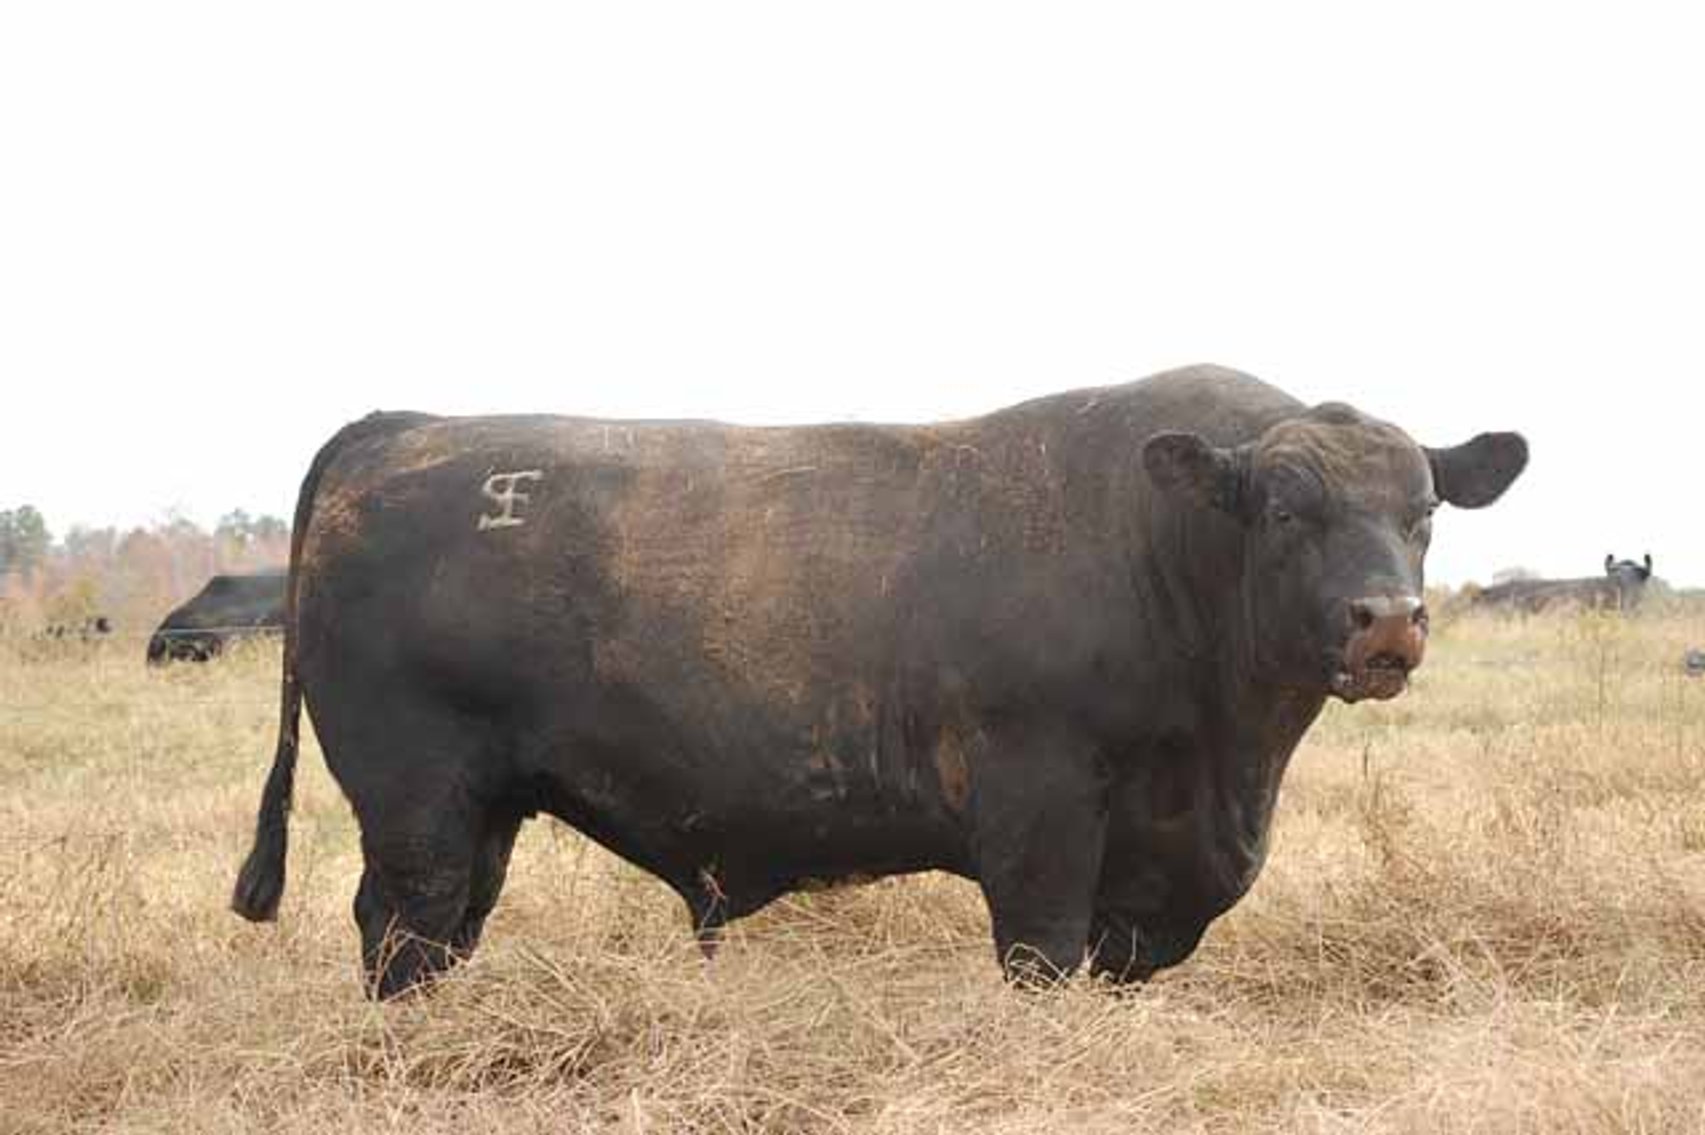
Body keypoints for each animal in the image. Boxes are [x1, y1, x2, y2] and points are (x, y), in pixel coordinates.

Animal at [230, 364, 1527, 998]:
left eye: (1422, 512)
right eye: (1284, 509)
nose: (1387, 622)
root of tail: (405, 427)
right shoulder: (1041, 812)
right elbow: (1042, 954)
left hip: (482, 807)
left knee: (444, 932)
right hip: (417, 800)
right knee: (402, 929)